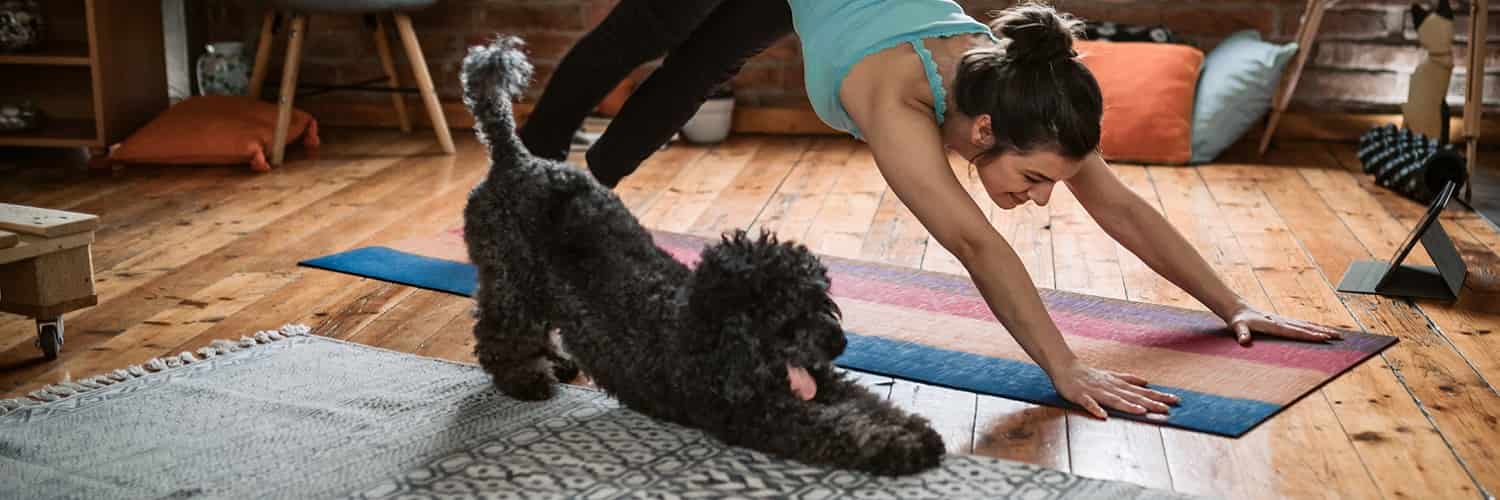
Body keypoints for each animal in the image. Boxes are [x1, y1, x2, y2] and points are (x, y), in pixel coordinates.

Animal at [459, 36, 948, 474]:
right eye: (786, 315)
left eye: (822, 300)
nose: (838, 343)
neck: (711, 332)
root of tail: (514, 158)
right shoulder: (761, 415)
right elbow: (838, 429)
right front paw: (899, 446)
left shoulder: (820, 380)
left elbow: (865, 401)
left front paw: (913, 427)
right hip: (509, 278)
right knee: (498, 335)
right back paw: (525, 379)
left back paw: (556, 362)